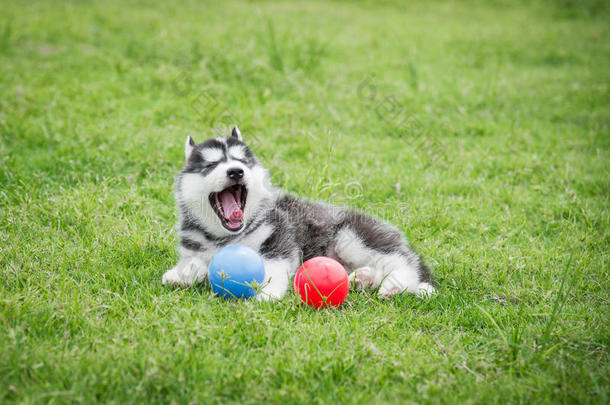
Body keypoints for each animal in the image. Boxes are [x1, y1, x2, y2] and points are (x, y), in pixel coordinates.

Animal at [162, 126, 432, 300]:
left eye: (242, 161)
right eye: (211, 165)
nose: (236, 172)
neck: (224, 237)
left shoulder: (279, 239)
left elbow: (272, 268)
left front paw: (266, 293)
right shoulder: (195, 249)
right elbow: (194, 261)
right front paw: (181, 274)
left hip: (351, 237)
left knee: (402, 261)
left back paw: (395, 285)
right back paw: (364, 279)